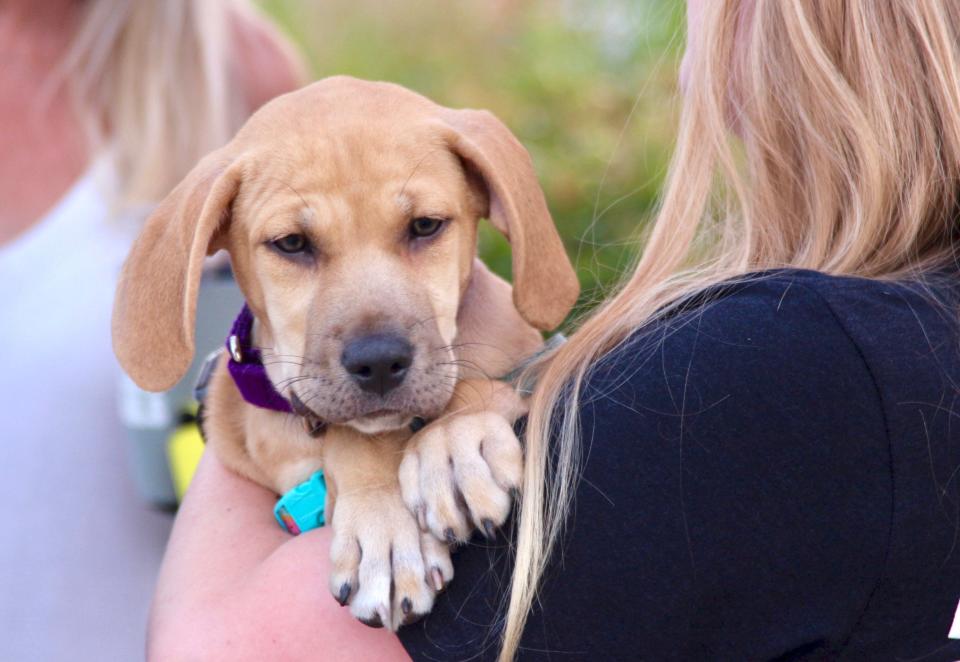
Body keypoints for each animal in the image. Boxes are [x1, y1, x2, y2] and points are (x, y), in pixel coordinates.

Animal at [112, 75, 576, 632]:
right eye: (291, 243)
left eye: (426, 226)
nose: (378, 364)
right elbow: (354, 438)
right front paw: (387, 534)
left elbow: (482, 384)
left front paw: (452, 444)